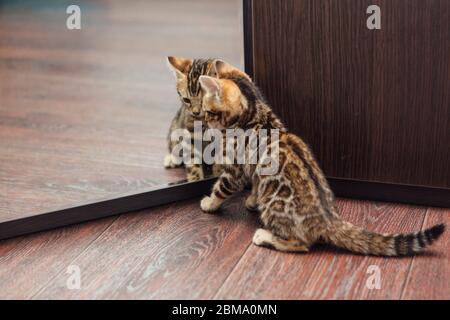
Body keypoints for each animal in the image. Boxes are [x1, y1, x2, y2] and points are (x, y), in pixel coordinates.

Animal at [199, 60, 444, 255]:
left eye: (208, 111)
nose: (202, 119)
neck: (253, 113)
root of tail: (327, 219)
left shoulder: (234, 169)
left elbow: (222, 187)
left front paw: (210, 203)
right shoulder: (255, 171)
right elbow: (257, 184)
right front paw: (251, 200)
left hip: (275, 206)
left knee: (301, 244)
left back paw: (265, 236)